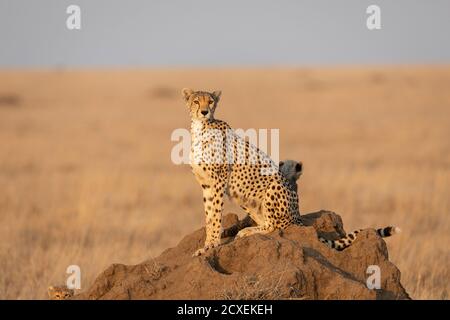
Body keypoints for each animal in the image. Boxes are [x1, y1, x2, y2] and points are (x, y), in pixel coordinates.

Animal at [183, 89, 302, 256]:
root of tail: (297, 215)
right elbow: (209, 215)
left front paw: (213, 243)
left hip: (273, 186)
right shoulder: (206, 184)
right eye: (196, 101)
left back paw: (247, 231)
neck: (201, 128)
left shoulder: (219, 181)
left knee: (274, 225)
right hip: (243, 197)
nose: (204, 112)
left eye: (211, 101)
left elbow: (216, 213)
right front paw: (207, 244)